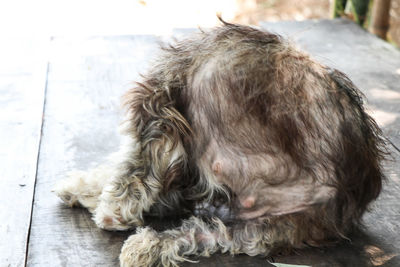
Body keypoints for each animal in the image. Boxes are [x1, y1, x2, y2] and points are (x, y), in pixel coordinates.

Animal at [54, 19, 388, 266]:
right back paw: (147, 246)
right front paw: (84, 188)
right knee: (209, 234)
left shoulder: (160, 110)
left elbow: (132, 167)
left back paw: (142, 243)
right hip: (267, 228)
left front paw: (108, 208)